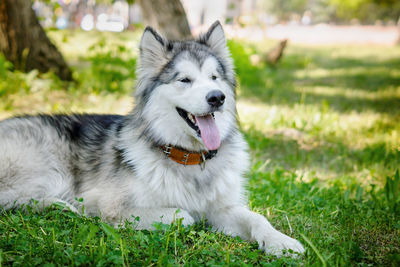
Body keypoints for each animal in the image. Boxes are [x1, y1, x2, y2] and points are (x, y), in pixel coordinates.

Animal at [0, 22, 304, 258]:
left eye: (214, 77)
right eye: (184, 80)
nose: (217, 97)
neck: (189, 159)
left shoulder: (223, 207)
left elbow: (258, 218)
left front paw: (281, 241)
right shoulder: (110, 206)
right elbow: (184, 215)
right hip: (50, 169)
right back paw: (60, 206)